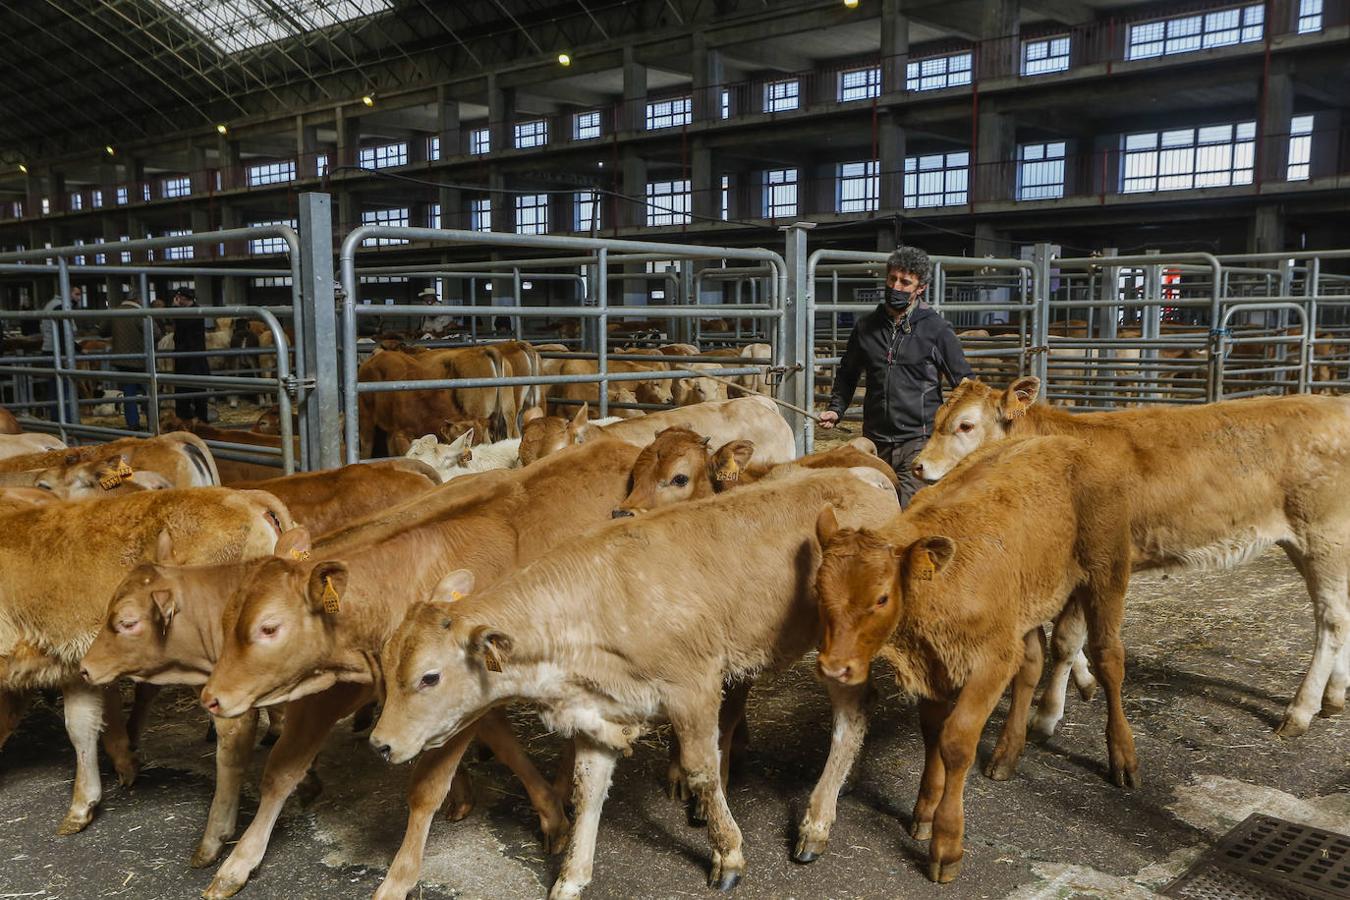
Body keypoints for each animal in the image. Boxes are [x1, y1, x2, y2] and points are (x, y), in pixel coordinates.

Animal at [195, 442, 648, 900]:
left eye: (268, 627)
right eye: (228, 618)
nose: (212, 697)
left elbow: (426, 788)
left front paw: (399, 878)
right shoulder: (351, 690)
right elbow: (281, 771)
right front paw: (237, 863)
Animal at [369, 469, 896, 895]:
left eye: (429, 676)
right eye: (387, 668)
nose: (380, 744)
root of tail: (863, 475)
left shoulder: (693, 689)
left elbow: (702, 770)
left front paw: (728, 853)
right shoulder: (597, 711)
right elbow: (587, 789)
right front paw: (571, 878)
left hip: (840, 653)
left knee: (850, 719)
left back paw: (816, 823)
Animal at [799, 437, 1139, 885]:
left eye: (882, 597)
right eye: (819, 591)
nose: (834, 667)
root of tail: (1066, 441)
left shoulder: (989, 663)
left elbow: (956, 742)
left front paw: (946, 844)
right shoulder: (934, 665)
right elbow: (932, 733)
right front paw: (925, 812)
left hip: (1106, 573)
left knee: (1108, 659)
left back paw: (1123, 758)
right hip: (1025, 609)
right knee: (1031, 663)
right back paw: (1007, 754)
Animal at [912, 380, 1350, 739]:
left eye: (966, 425)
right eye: (937, 418)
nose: (918, 466)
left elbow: (1066, 640)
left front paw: (1047, 714)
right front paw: (1082, 683)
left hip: (1323, 537)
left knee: (1331, 619)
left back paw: (1300, 711)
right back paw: (1334, 696)